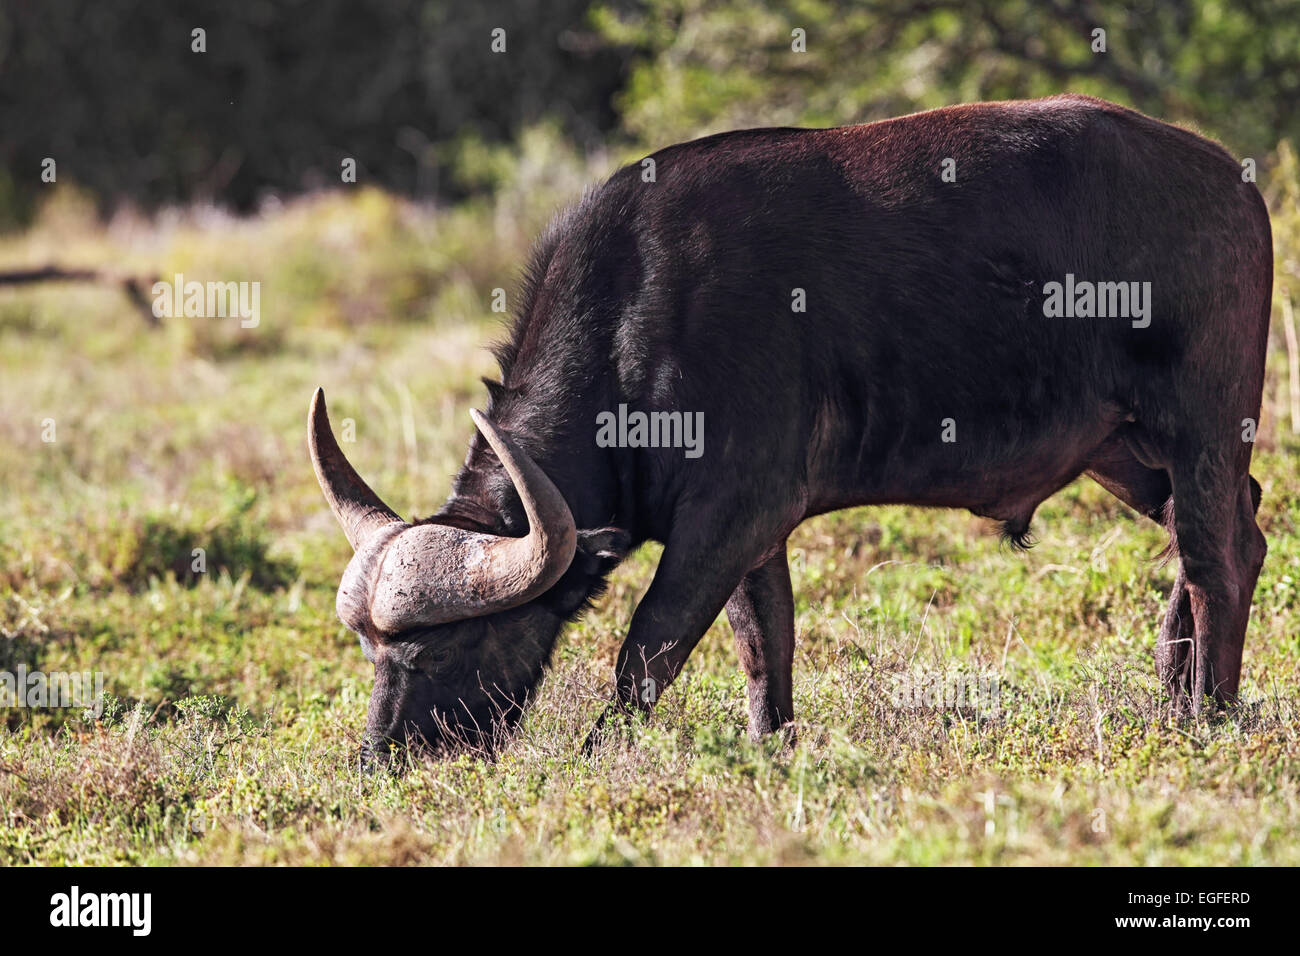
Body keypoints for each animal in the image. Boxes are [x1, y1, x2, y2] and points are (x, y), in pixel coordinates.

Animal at [312, 91, 1268, 764]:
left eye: (450, 648)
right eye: (371, 653)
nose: (386, 761)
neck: (638, 320)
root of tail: (1233, 181)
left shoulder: (729, 515)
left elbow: (647, 649)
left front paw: (596, 756)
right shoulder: (757, 530)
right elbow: (764, 645)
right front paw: (770, 747)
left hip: (1204, 426)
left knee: (1215, 558)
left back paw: (1209, 718)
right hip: (1126, 451)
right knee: (1230, 534)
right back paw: (1172, 696)